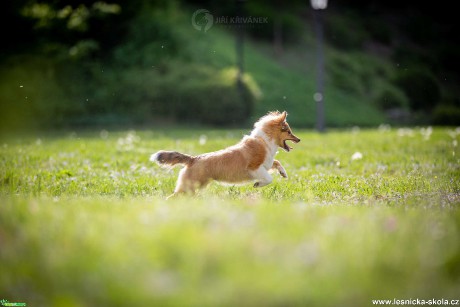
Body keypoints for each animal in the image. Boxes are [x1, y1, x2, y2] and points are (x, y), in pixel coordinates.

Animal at [151, 112, 300, 199]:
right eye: (288, 131)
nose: (299, 139)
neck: (264, 141)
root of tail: (192, 159)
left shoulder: (267, 164)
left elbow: (276, 162)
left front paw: (283, 173)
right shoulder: (255, 168)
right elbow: (269, 178)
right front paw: (257, 184)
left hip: (195, 187)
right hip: (190, 187)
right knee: (172, 196)